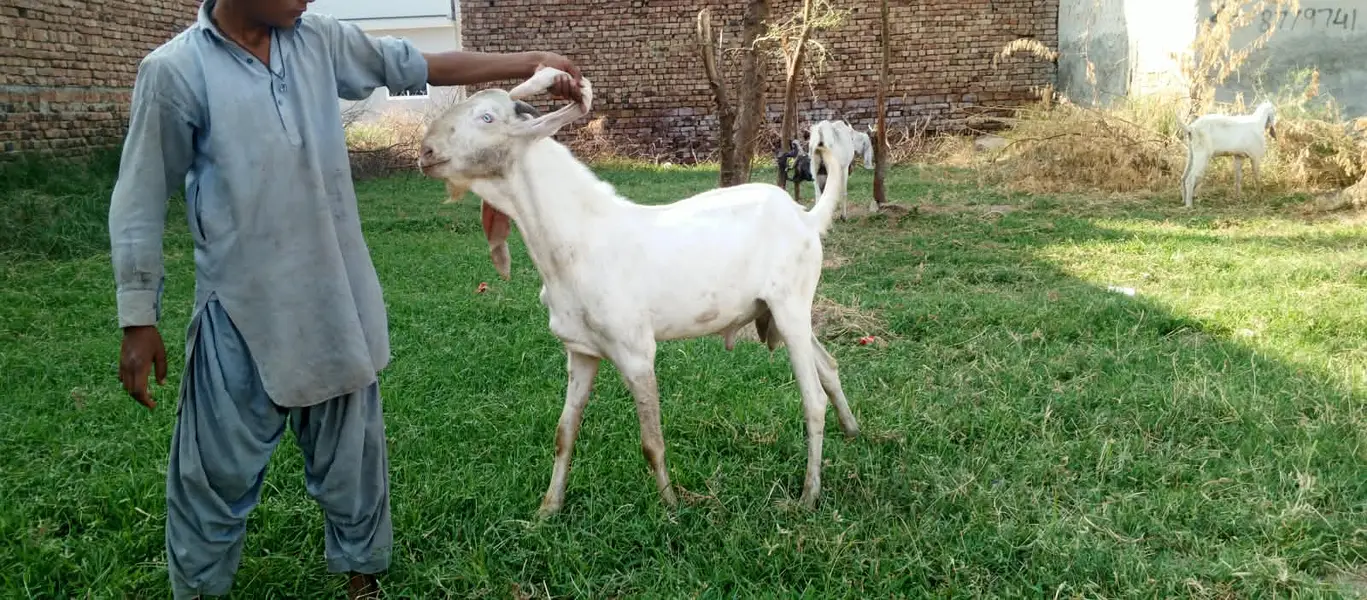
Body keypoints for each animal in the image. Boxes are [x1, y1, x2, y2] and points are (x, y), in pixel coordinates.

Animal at [417, 68, 861, 516]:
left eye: (487, 118)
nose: (425, 151)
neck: (579, 236)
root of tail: (805, 218)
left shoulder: (635, 351)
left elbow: (651, 441)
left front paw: (670, 507)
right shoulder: (580, 351)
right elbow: (564, 432)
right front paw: (547, 509)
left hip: (790, 306)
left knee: (813, 399)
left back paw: (809, 494)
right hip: (783, 314)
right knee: (829, 366)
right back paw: (853, 431)